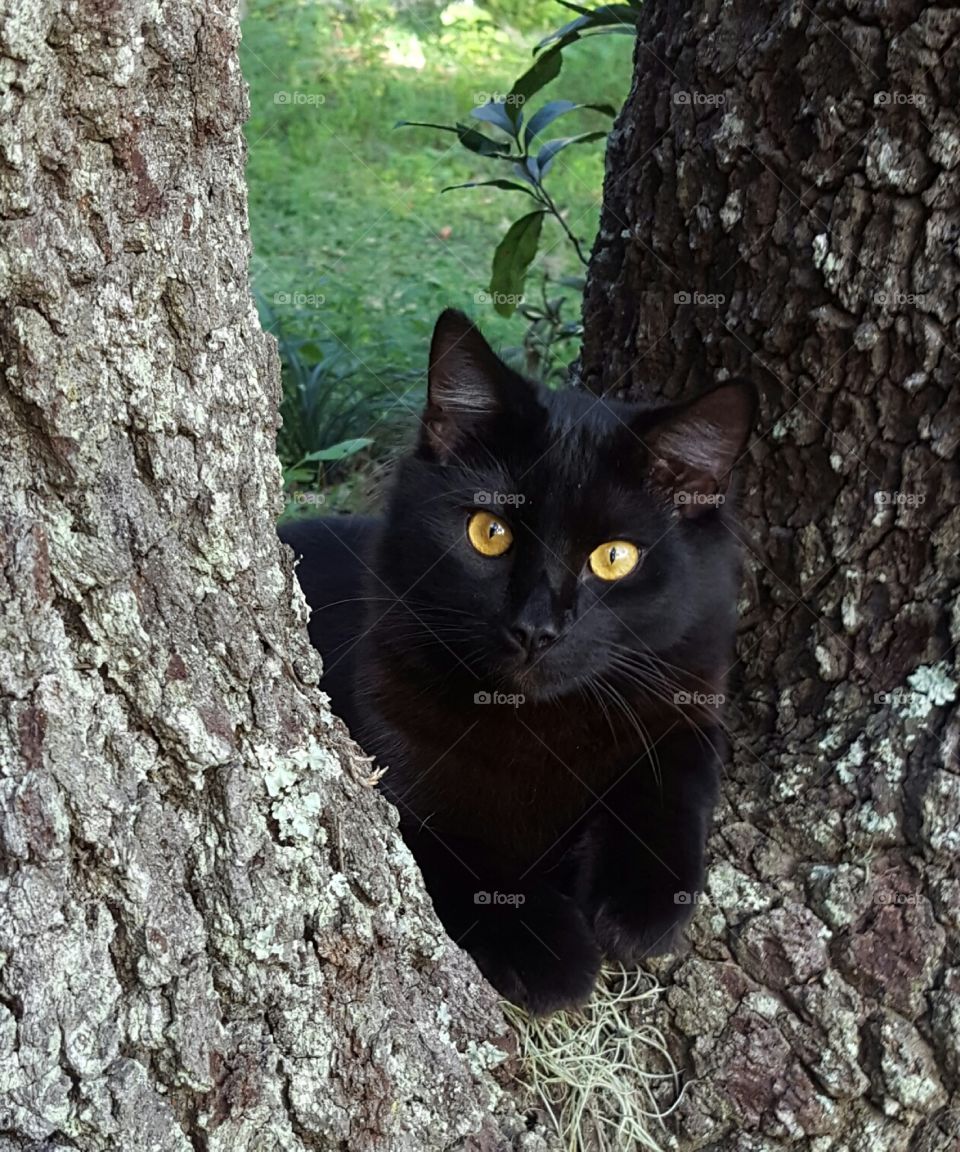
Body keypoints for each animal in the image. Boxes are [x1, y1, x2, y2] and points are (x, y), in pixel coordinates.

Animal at [278, 311, 756, 1013]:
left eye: (615, 557)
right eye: (489, 532)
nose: (536, 628)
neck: (541, 727)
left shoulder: (689, 709)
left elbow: (675, 784)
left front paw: (641, 908)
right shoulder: (393, 772)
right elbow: (464, 857)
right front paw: (552, 951)